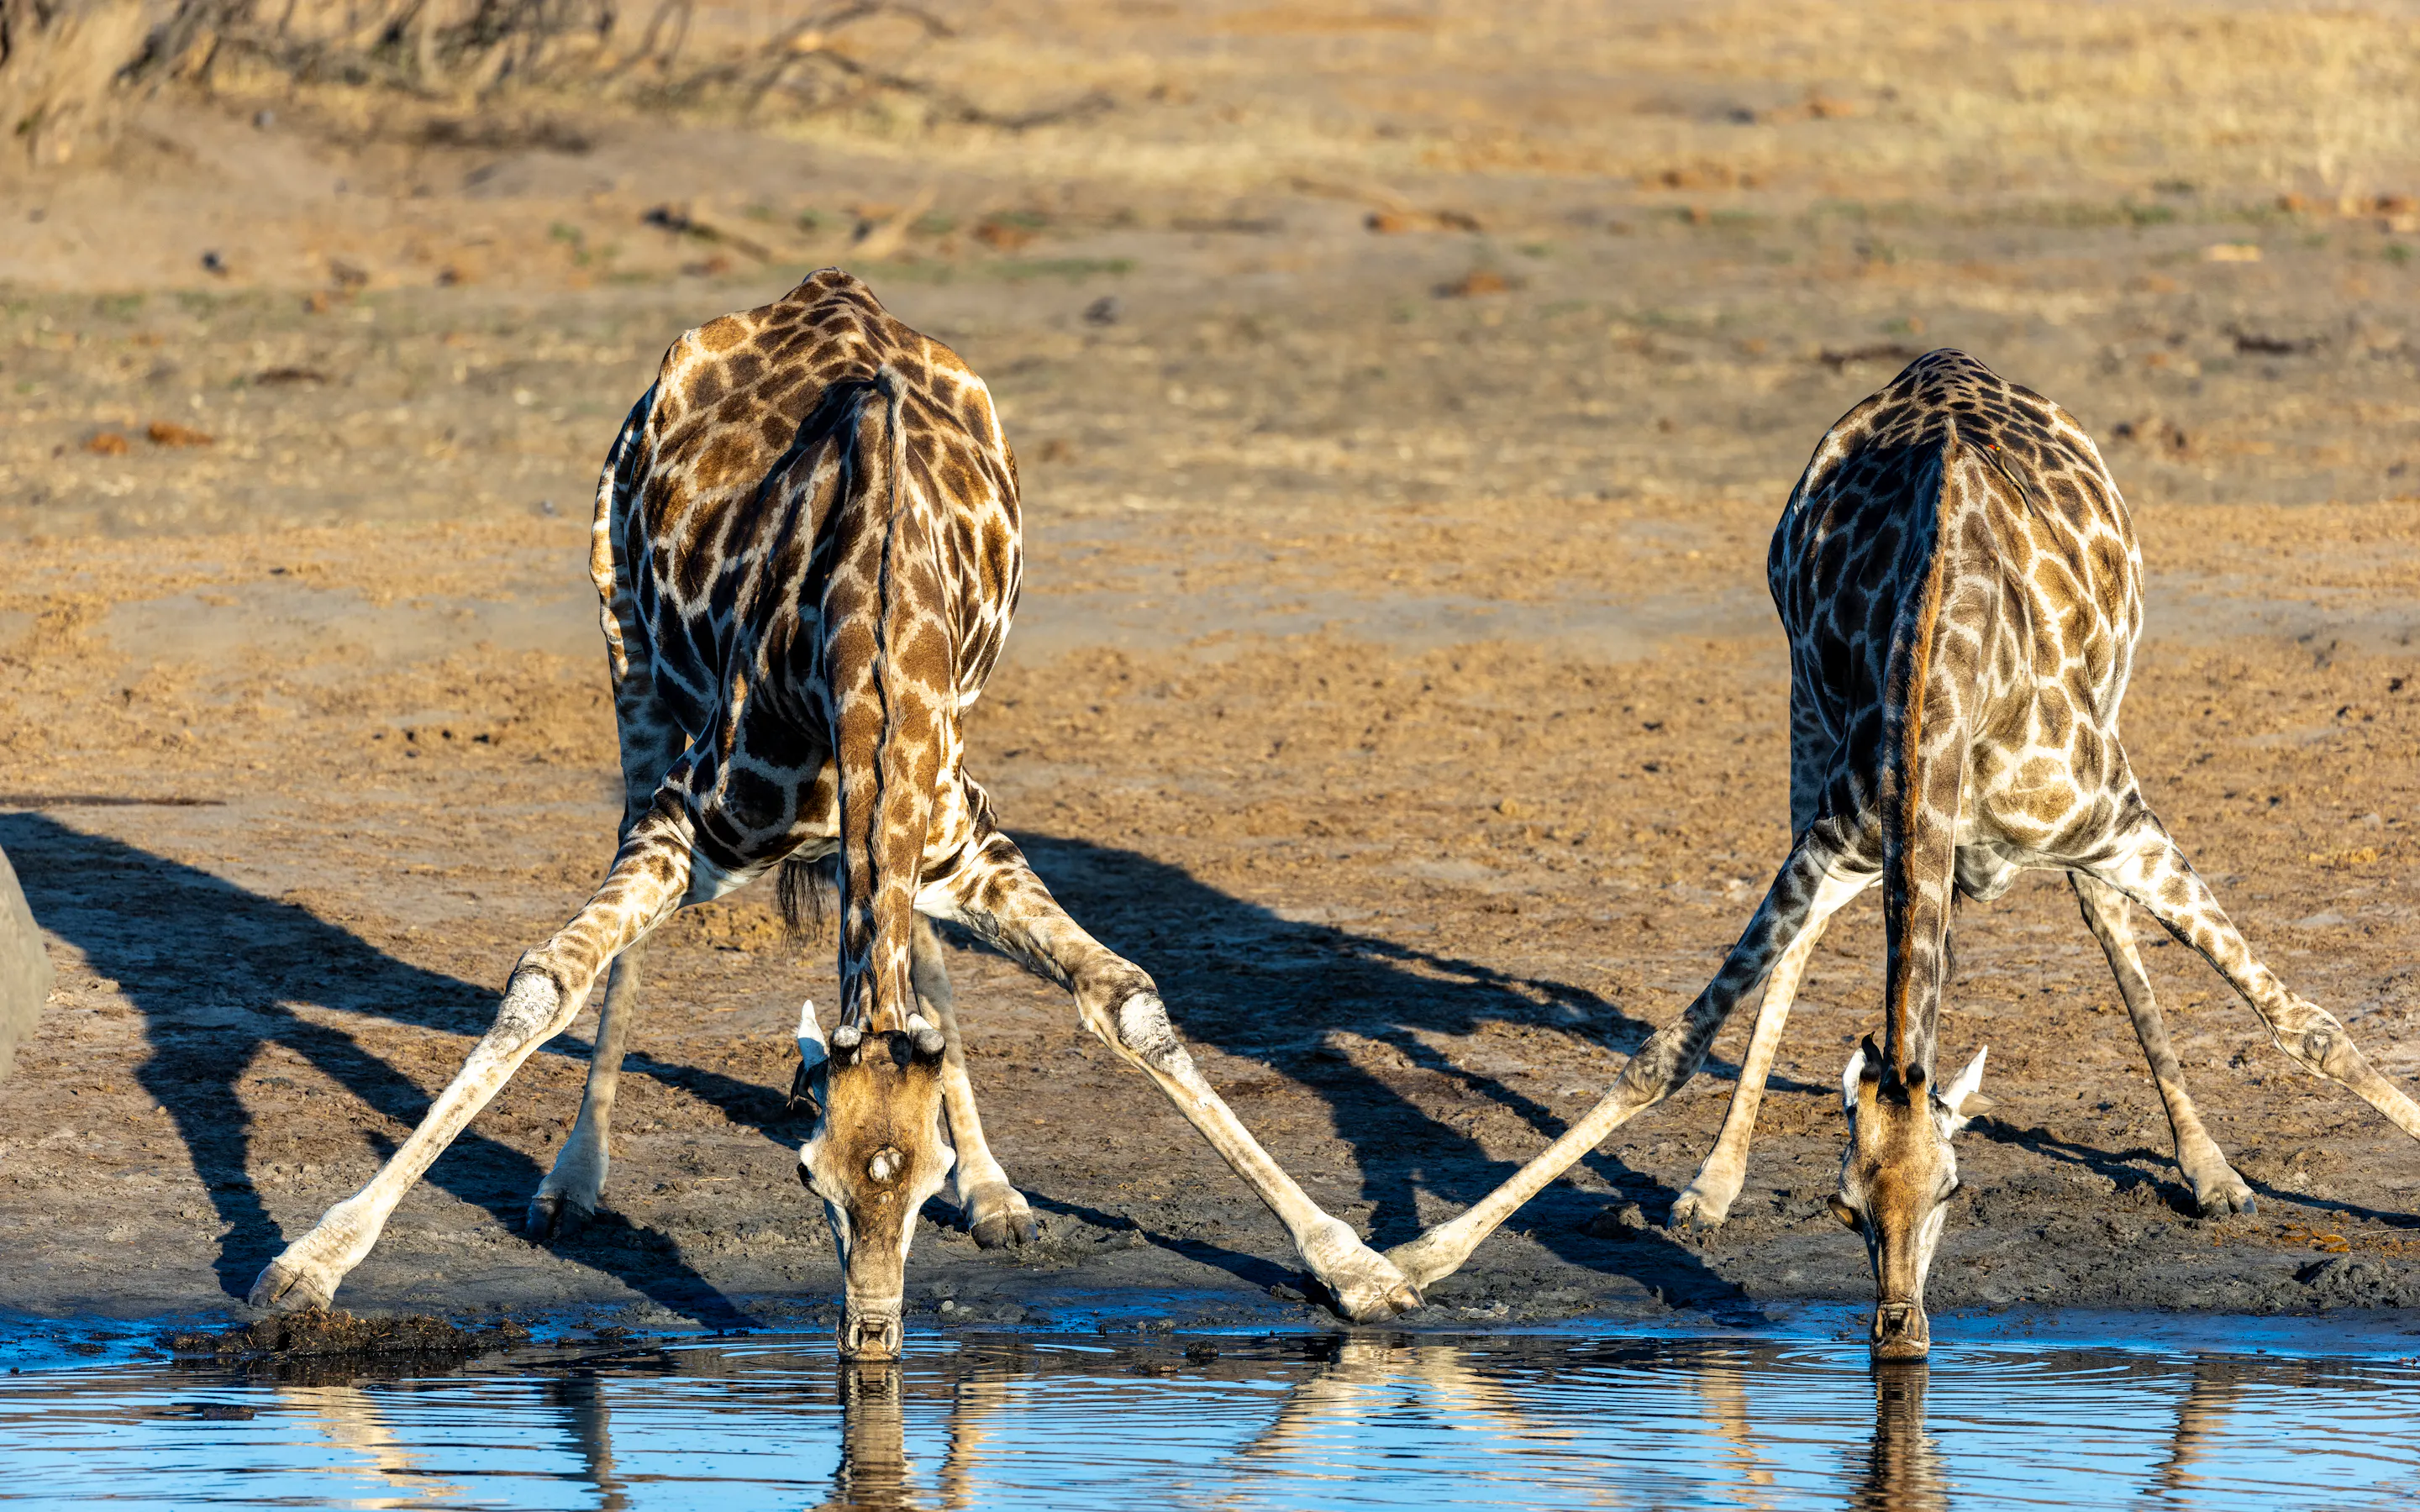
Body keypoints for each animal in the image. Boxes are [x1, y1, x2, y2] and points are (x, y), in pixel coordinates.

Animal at [246, 269, 1420, 1355]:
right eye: (809, 1176)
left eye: (920, 1177)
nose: (870, 1338)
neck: (865, 637)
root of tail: (824, 285)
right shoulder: (688, 819)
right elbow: (545, 981)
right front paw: (309, 1263)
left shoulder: (967, 835)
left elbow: (1124, 998)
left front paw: (1359, 1268)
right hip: (627, 649)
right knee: (635, 913)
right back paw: (573, 1182)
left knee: (922, 955)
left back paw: (1002, 1196)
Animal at [1380, 349, 2420, 1357]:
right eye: (1843, 1204)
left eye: (1956, 1190)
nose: (1898, 1336)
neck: (1954, 686)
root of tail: (1943, 361)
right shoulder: (1843, 838)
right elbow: (1666, 1052)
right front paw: (1408, 1264)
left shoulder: (2117, 820)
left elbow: (2305, 1025)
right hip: (1806, 716)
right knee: (1804, 951)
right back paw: (1714, 1182)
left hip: (2108, 709)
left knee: (2102, 914)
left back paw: (2210, 1171)